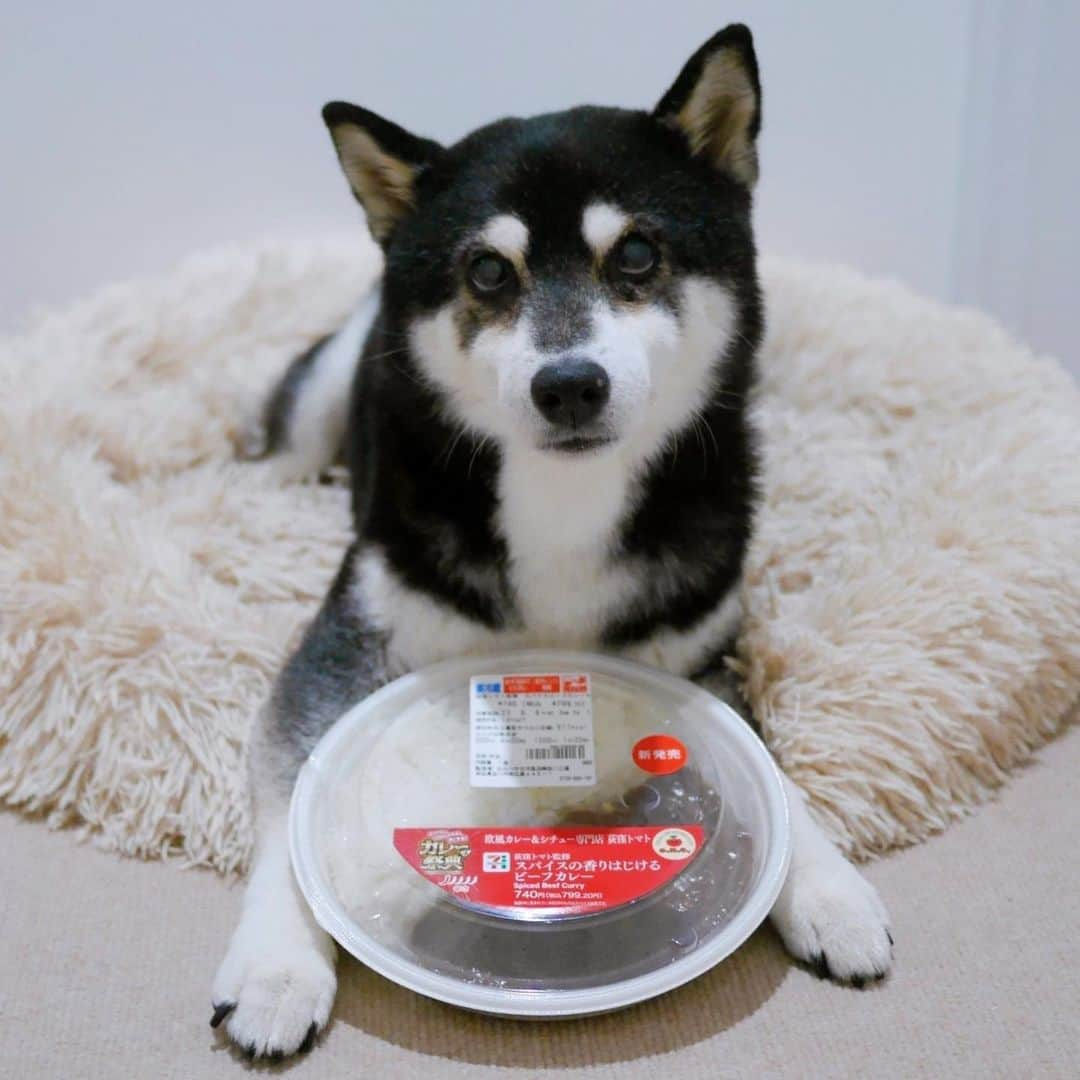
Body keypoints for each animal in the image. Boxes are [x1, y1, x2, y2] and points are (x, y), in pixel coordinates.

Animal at [210, 23, 894, 1054]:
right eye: (489, 271)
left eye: (639, 252)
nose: (569, 384)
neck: (565, 502)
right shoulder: (346, 646)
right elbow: (293, 796)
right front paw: (277, 966)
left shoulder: (701, 651)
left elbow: (774, 774)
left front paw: (828, 891)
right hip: (333, 381)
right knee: (283, 446)